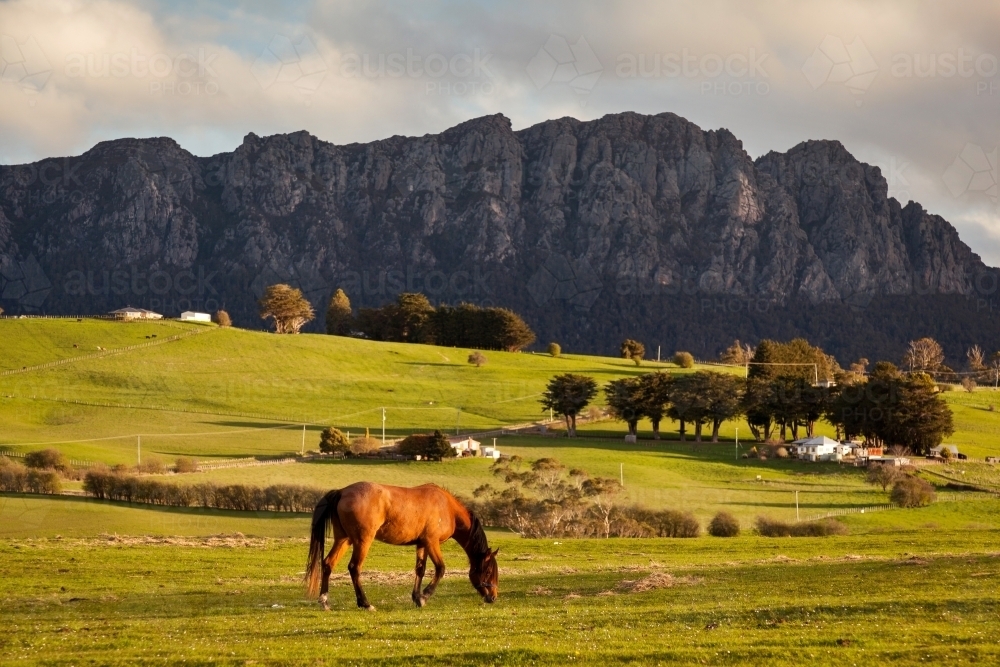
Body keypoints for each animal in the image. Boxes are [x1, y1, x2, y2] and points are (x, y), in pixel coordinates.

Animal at [300, 482, 496, 612]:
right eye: (487, 571)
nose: (493, 596)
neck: (448, 508)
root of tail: (342, 492)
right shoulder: (432, 542)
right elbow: (440, 569)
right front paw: (425, 596)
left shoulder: (422, 544)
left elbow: (420, 570)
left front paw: (417, 597)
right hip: (362, 541)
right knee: (354, 568)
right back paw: (365, 603)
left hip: (344, 539)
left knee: (328, 564)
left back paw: (325, 601)